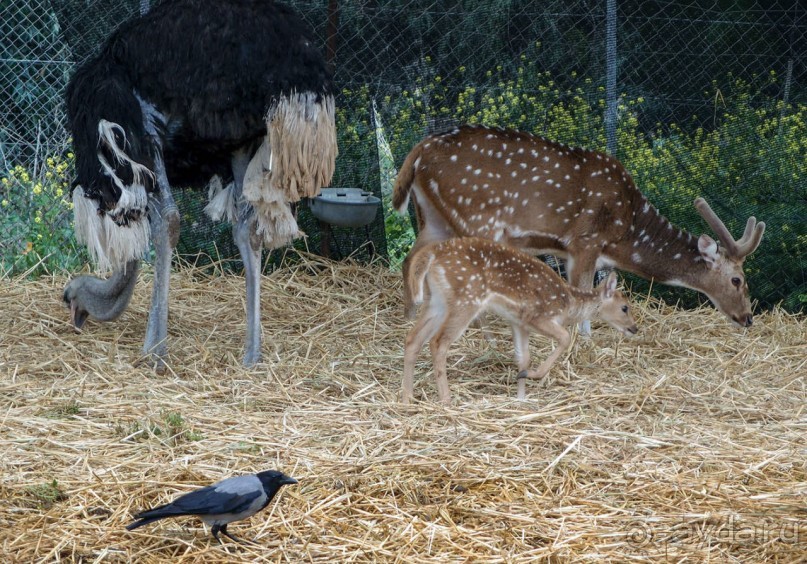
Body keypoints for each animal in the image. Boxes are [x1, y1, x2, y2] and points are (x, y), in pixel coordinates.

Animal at [394, 123, 768, 326]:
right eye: (737, 279)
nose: (748, 318)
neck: (626, 236)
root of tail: (420, 150)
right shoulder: (585, 241)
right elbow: (584, 299)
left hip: (433, 218)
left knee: (410, 259)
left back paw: (409, 316)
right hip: (475, 219)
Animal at [404, 236, 636, 404]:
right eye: (625, 307)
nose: (634, 328)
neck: (568, 303)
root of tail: (433, 252)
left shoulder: (518, 323)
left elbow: (523, 358)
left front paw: (521, 395)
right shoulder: (538, 316)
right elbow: (564, 337)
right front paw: (534, 377)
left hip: (437, 300)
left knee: (413, 338)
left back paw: (407, 398)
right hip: (466, 299)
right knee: (438, 342)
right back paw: (446, 399)